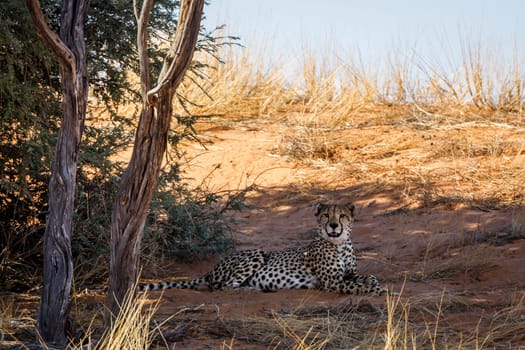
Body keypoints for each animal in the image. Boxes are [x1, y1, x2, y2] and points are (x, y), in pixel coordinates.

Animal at [138, 202, 384, 296]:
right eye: (326, 215)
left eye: (342, 215)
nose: (333, 225)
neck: (339, 244)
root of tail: (211, 269)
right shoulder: (332, 282)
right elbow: (356, 287)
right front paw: (377, 291)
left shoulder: (348, 274)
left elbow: (368, 277)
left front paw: (375, 284)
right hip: (257, 253)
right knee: (222, 287)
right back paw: (253, 289)